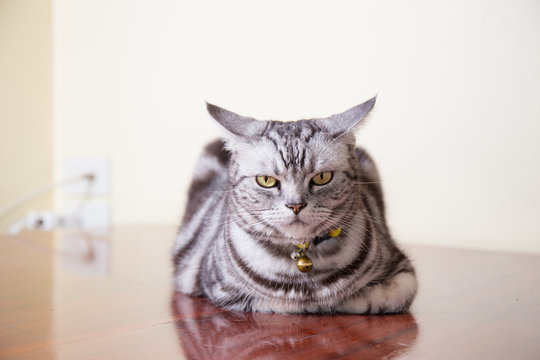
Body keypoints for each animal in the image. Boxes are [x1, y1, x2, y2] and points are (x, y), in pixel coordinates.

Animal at [173, 97, 418, 314]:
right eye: (266, 180)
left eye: (322, 177)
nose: (296, 205)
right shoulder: (219, 286)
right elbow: (276, 301)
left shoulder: (403, 270)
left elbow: (384, 296)